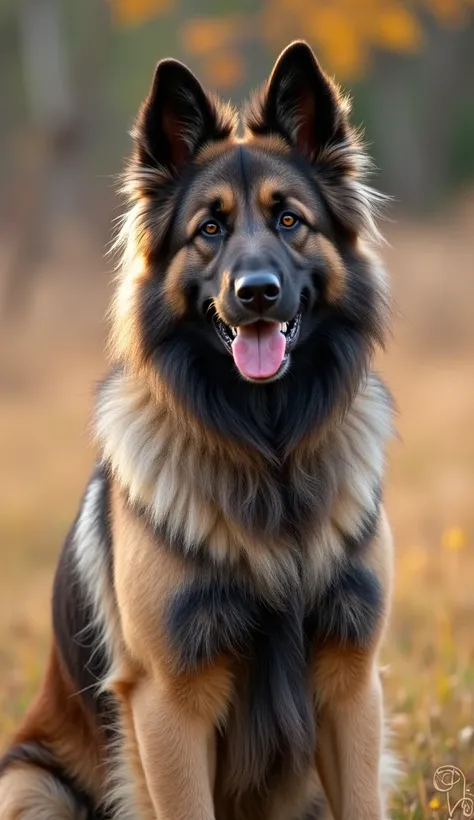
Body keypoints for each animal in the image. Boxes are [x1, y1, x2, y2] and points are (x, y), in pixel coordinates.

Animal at [0, 41, 394, 820]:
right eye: (209, 230)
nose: (257, 295)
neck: (270, 452)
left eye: (289, 220)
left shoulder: (351, 684)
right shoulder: (168, 706)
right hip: (28, 785)